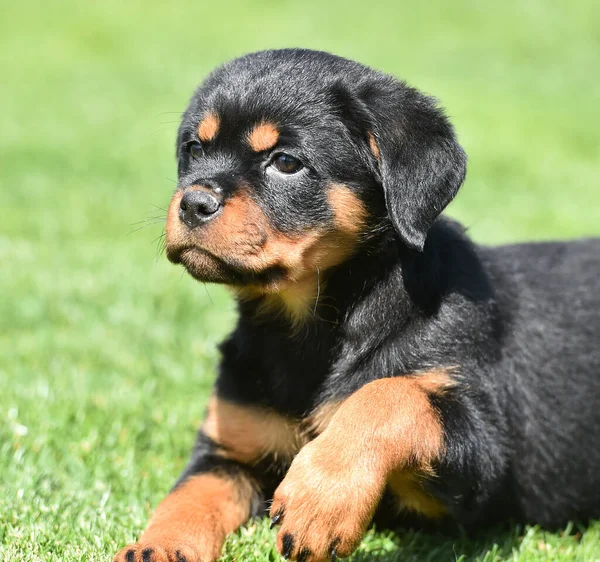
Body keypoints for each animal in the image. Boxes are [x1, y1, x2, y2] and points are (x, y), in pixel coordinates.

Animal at [113, 48, 600, 560]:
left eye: (286, 162)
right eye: (194, 149)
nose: (192, 203)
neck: (307, 329)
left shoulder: (481, 463)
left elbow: (390, 395)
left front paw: (320, 499)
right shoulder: (230, 449)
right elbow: (187, 498)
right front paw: (155, 546)